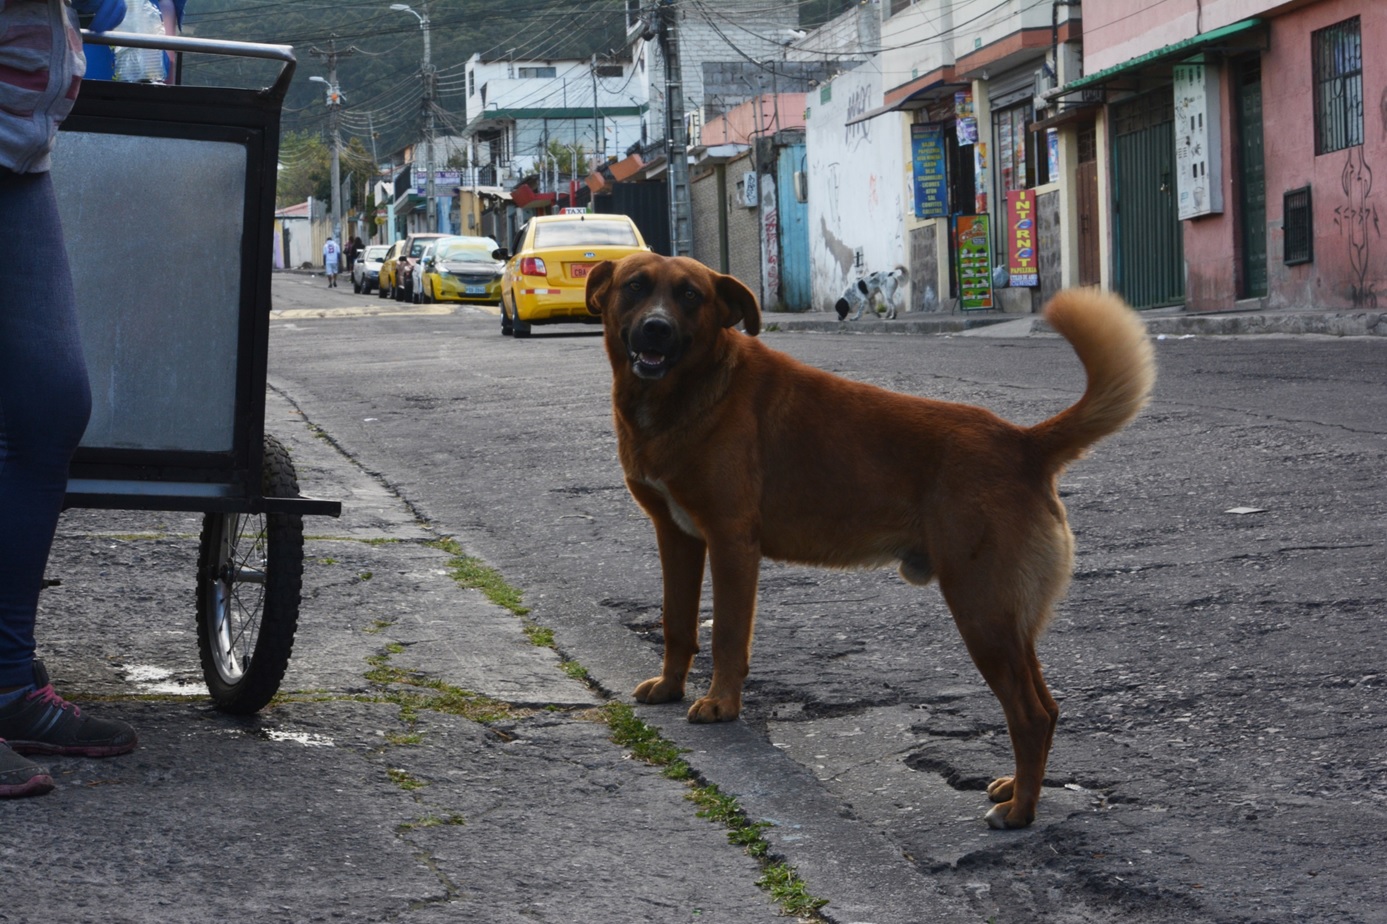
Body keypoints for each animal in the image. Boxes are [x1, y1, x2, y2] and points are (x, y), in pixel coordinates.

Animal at [585, 252, 1159, 826]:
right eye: (635, 286)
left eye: (690, 296)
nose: (656, 329)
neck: (688, 390)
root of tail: (1023, 443)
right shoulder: (677, 538)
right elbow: (677, 623)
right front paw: (671, 686)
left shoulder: (731, 543)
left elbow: (726, 634)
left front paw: (721, 703)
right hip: (1008, 618)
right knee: (1048, 706)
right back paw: (1017, 788)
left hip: (981, 610)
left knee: (1030, 714)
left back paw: (1019, 811)